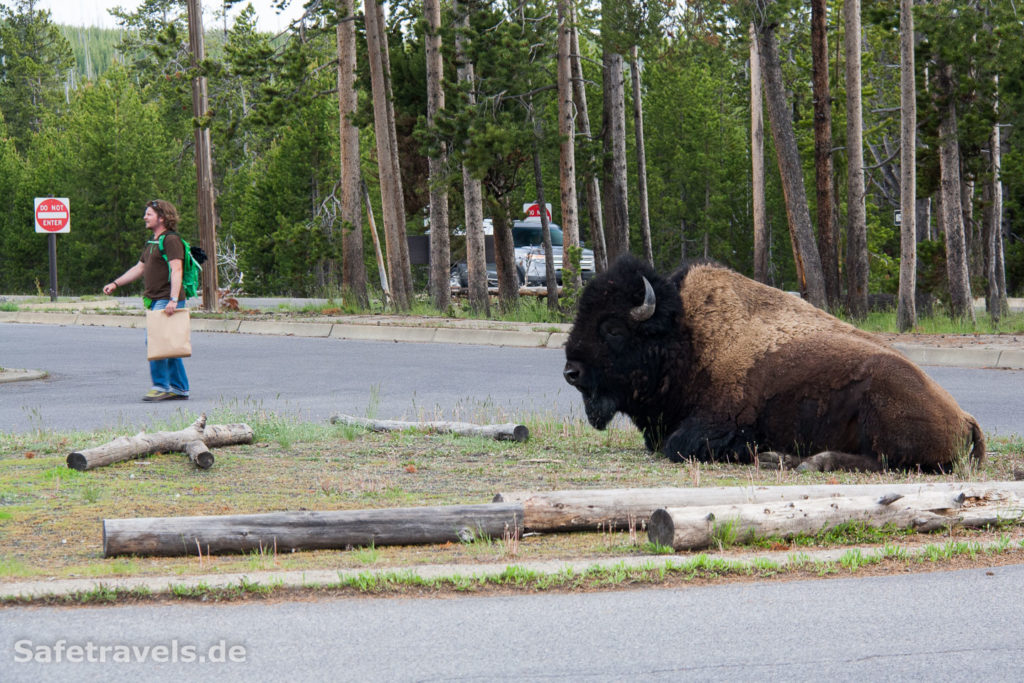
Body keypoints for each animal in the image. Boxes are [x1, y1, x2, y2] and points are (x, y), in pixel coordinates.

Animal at [565, 253, 987, 473]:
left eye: (613, 328)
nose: (571, 372)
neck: (687, 337)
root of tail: (965, 416)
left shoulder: (714, 426)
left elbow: (678, 446)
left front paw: (757, 453)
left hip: (881, 410)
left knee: (878, 461)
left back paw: (795, 460)